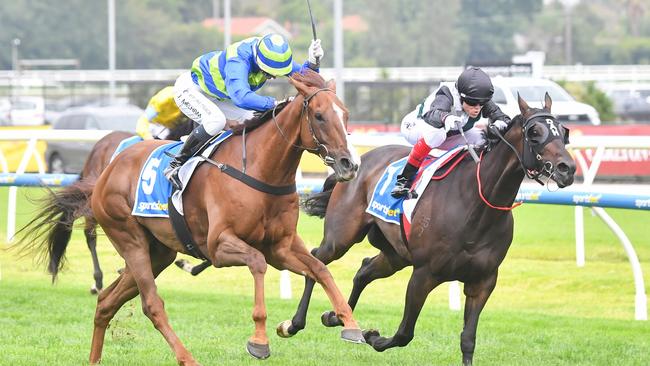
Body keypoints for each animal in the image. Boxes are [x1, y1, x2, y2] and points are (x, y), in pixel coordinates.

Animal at [278, 95, 572, 366]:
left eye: (563, 131)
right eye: (535, 133)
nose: (567, 169)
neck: (476, 205)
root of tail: (357, 162)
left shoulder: (483, 281)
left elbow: (468, 339)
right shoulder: (424, 274)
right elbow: (404, 333)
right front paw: (374, 336)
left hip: (396, 254)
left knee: (364, 269)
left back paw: (336, 317)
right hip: (342, 237)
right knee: (318, 260)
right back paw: (293, 323)